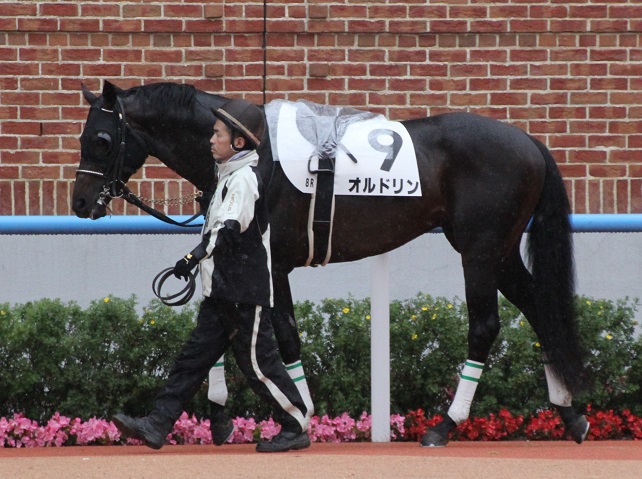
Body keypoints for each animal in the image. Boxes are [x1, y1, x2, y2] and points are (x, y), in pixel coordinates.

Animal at [72, 80, 590, 446]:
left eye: (101, 139)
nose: (80, 203)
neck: (252, 155)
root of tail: (529, 142)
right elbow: (220, 330)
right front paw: (221, 418)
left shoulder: (273, 263)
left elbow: (283, 336)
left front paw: (300, 415)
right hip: (500, 252)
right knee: (541, 309)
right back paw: (571, 414)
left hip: (480, 252)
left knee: (485, 326)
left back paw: (445, 425)